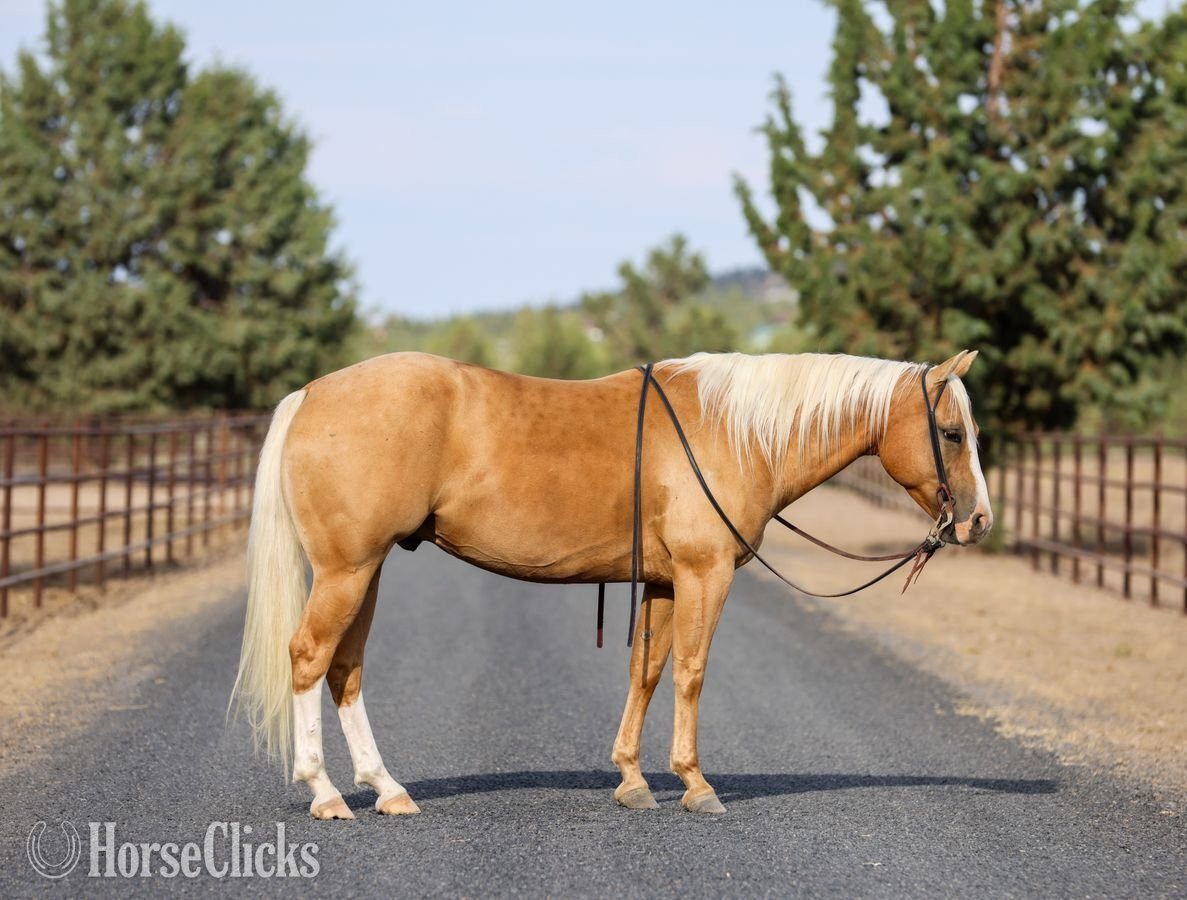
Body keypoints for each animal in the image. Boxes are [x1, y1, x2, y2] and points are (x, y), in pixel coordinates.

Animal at [230, 349, 991, 818]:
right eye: (952, 433)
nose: (979, 520)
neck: (732, 431)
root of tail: (311, 395)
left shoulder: (662, 582)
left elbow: (646, 670)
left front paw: (630, 779)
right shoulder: (704, 574)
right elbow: (689, 671)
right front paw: (694, 784)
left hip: (366, 570)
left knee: (345, 669)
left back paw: (385, 788)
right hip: (347, 571)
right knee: (309, 658)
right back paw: (325, 792)